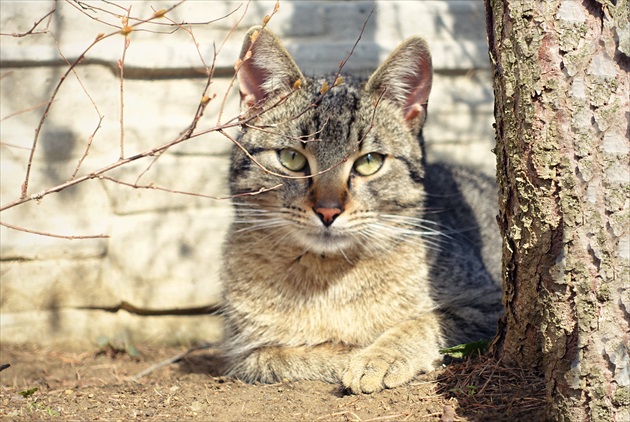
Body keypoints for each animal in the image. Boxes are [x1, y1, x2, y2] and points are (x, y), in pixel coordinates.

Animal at [222, 26, 504, 394]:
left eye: (369, 162)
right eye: (291, 158)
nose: (328, 211)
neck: (328, 280)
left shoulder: (490, 304)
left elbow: (426, 321)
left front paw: (378, 357)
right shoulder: (244, 354)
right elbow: (286, 355)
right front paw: (349, 354)